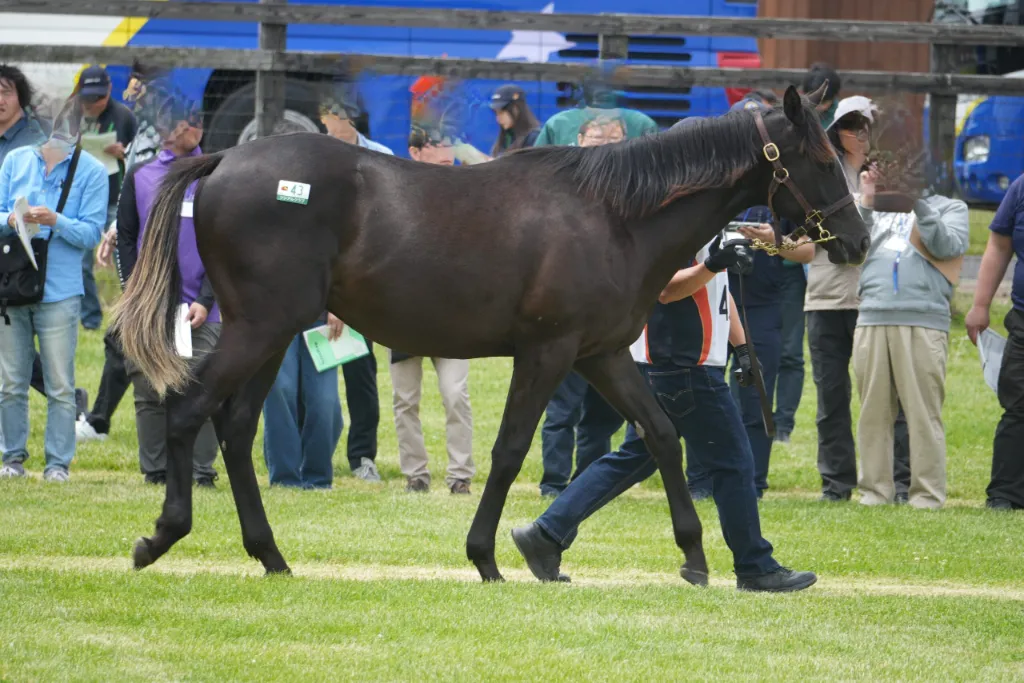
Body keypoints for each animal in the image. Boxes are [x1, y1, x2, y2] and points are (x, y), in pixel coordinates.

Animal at [110, 84, 869, 584]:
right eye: (822, 161)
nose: (857, 240)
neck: (613, 215)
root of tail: (223, 160)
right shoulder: (547, 353)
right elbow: (508, 452)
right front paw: (486, 556)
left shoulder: (600, 353)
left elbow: (659, 433)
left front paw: (693, 555)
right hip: (259, 329)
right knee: (188, 410)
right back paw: (161, 535)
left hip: (269, 333)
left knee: (235, 430)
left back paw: (270, 554)